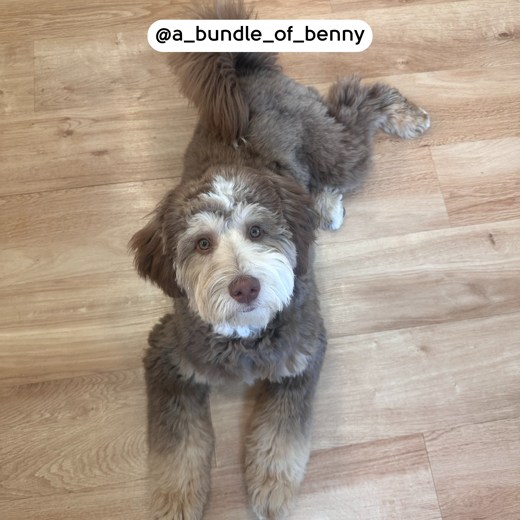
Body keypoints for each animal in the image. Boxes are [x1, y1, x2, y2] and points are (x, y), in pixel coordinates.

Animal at [130, 2, 430, 516]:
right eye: (202, 244)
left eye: (257, 230)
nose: (244, 286)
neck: (247, 339)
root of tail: (248, 71)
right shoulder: (167, 357)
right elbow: (178, 443)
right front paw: (176, 499)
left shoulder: (302, 356)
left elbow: (280, 433)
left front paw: (270, 488)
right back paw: (325, 202)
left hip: (332, 150)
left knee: (357, 103)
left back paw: (399, 117)